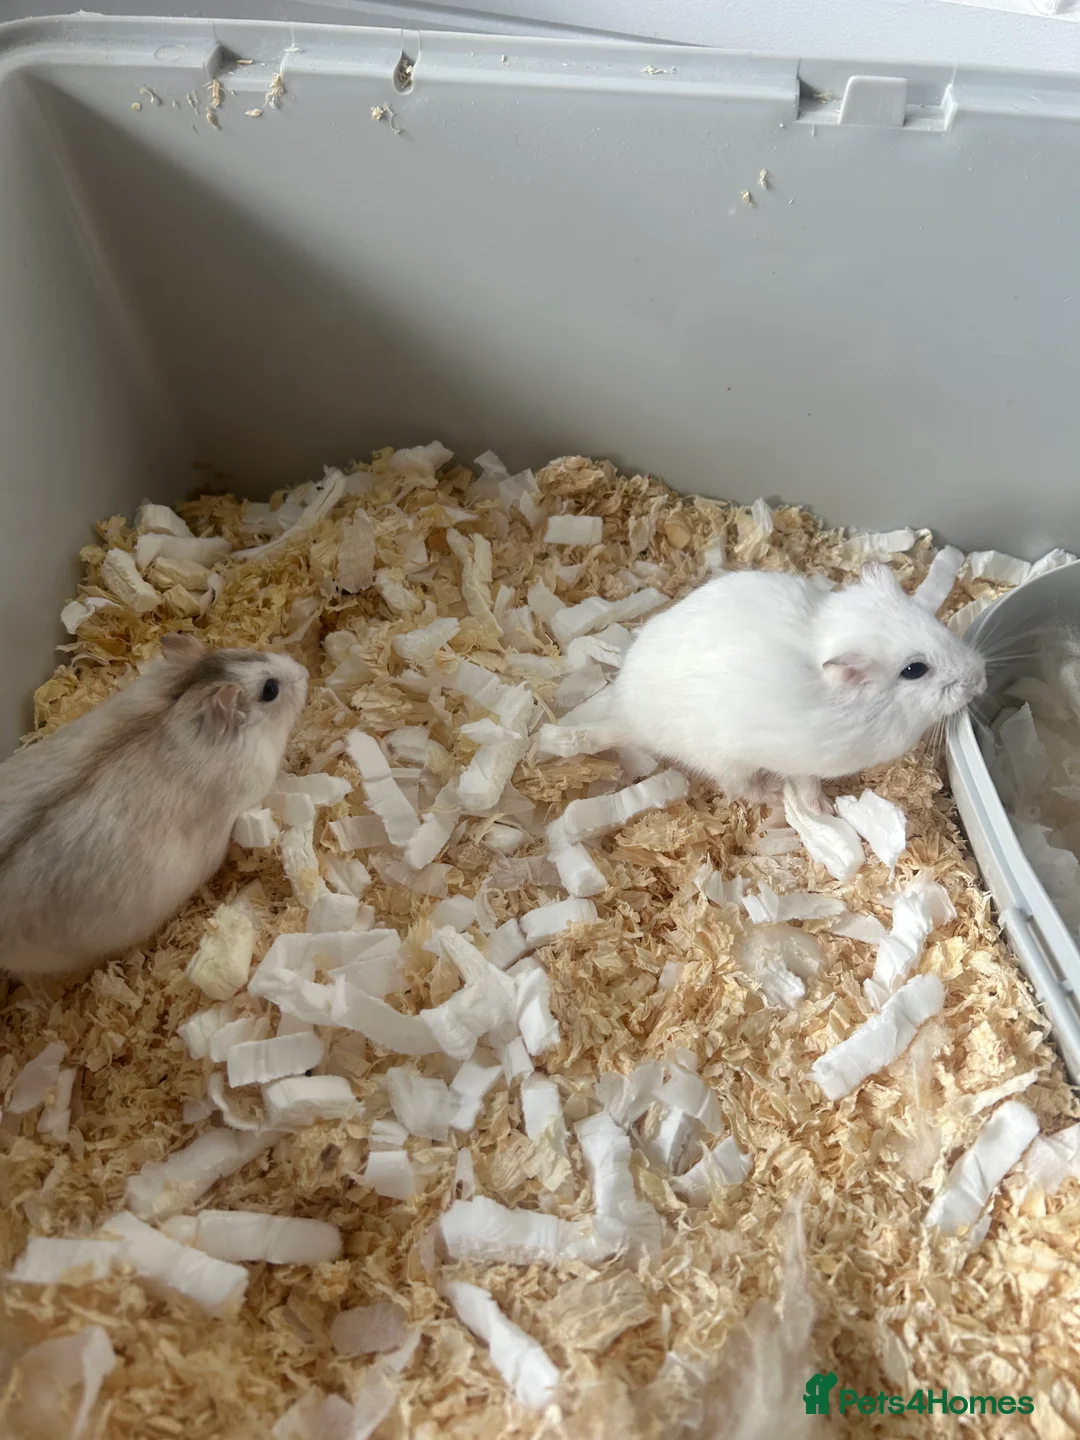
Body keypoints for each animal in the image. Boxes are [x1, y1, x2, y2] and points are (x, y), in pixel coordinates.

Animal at [610, 562, 986, 808]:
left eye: (937, 623)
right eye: (914, 670)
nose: (981, 681)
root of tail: (624, 708)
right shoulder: (803, 761)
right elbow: (806, 785)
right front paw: (825, 807)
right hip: (721, 758)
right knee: (737, 787)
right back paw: (774, 792)